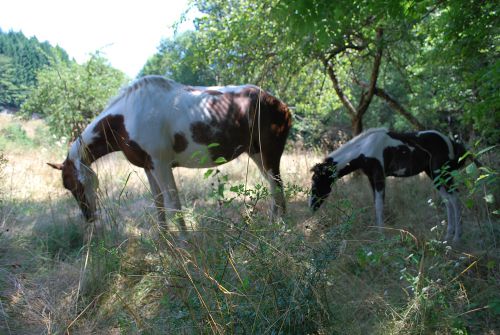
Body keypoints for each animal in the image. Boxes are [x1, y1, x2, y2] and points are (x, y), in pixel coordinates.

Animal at [48, 76, 292, 232]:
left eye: (71, 185)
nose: (89, 217)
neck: (126, 118)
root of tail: (280, 104)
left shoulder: (161, 165)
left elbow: (173, 204)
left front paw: (184, 246)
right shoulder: (149, 167)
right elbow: (158, 204)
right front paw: (164, 242)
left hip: (270, 154)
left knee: (277, 187)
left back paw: (280, 228)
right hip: (257, 154)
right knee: (273, 188)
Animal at [310, 129, 466, 244]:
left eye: (317, 181)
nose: (312, 207)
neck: (365, 148)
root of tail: (449, 141)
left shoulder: (379, 177)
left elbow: (379, 206)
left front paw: (381, 236)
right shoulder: (371, 179)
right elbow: (376, 204)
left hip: (441, 173)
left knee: (455, 199)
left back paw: (457, 238)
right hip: (434, 175)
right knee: (448, 200)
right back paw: (448, 236)